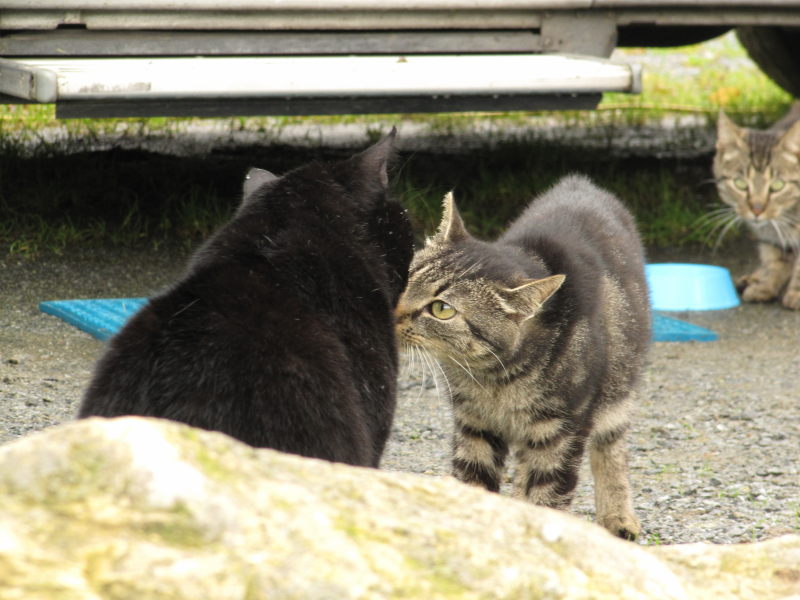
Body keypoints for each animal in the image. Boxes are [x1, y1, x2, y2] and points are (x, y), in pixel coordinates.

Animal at [396, 175, 652, 540]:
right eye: (409, 276)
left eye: (441, 309)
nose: (392, 311)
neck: (496, 377)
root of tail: (581, 182)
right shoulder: (475, 425)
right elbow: (474, 485)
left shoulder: (561, 432)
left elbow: (549, 496)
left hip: (617, 392)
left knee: (611, 448)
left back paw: (617, 515)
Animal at [712, 102, 800, 310]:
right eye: (740, 184)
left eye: (777, 185)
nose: (757, 210)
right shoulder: (772, 236)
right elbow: (774, 258)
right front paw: (766, 286)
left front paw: (796, 293)